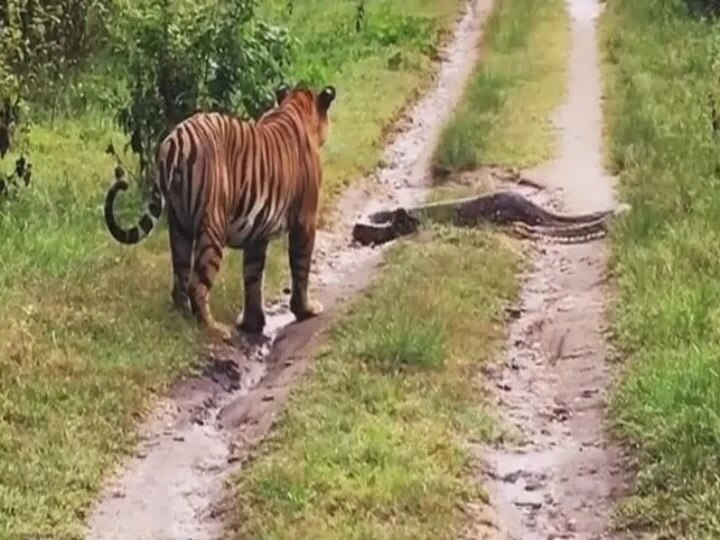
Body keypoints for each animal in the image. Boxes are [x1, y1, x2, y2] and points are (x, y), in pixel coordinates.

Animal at [102, 84, 336, 342]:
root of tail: (174, 141)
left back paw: (183, 319)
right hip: (212, 226)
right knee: (197, 284)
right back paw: (213, 328)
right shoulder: (305, 221)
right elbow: (300, 268)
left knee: (180, 279)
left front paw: (252, 323)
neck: (295, 107)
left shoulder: (258, 233)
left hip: (179, 225)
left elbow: (253, 276)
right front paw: (305, 310)